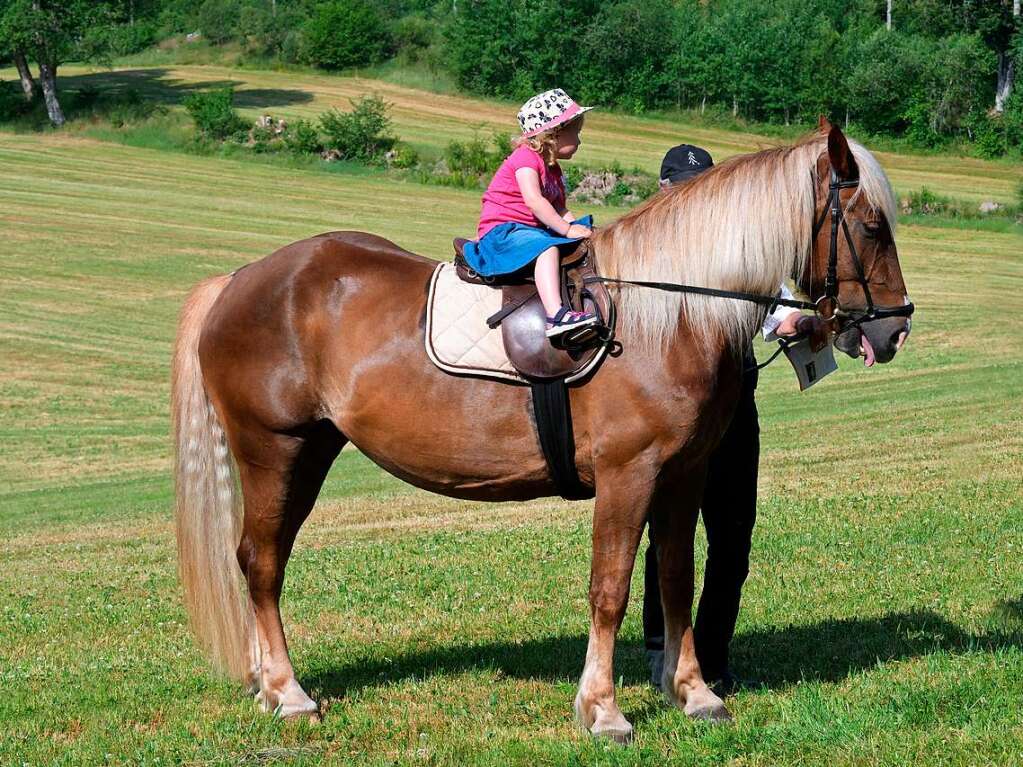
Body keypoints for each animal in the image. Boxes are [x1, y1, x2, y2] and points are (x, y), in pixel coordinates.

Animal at [173, 123, 912, 740]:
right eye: (871, 225)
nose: (893, 330)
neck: (668, 312)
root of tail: (238, 280)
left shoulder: (682, 475)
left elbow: (674, 578)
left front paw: (695, 692)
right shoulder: (627, 474)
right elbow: (610, 588)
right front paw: (604, 709)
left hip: (310, 452)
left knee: (260, 558)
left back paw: (265, 684)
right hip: (274, 450)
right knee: (261, 562)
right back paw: (288, 691)